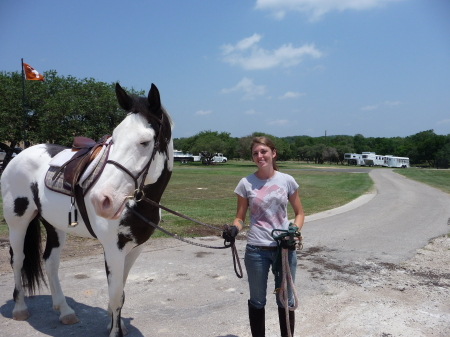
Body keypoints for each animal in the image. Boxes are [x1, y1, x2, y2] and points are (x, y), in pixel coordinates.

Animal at [0, 82, 174, 336]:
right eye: (114, 138)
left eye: (145, 141)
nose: (102, 200)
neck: (136, 202)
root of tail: (18, 154)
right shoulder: (113, 248)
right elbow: (115, 295)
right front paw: (115, 330)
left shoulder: (135, 248)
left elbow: (121, 291)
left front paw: (116, 323)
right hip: (18, 222)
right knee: (18, 260)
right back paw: (20, 308)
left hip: (54, 225)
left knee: (50, 261)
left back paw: (64, 311)